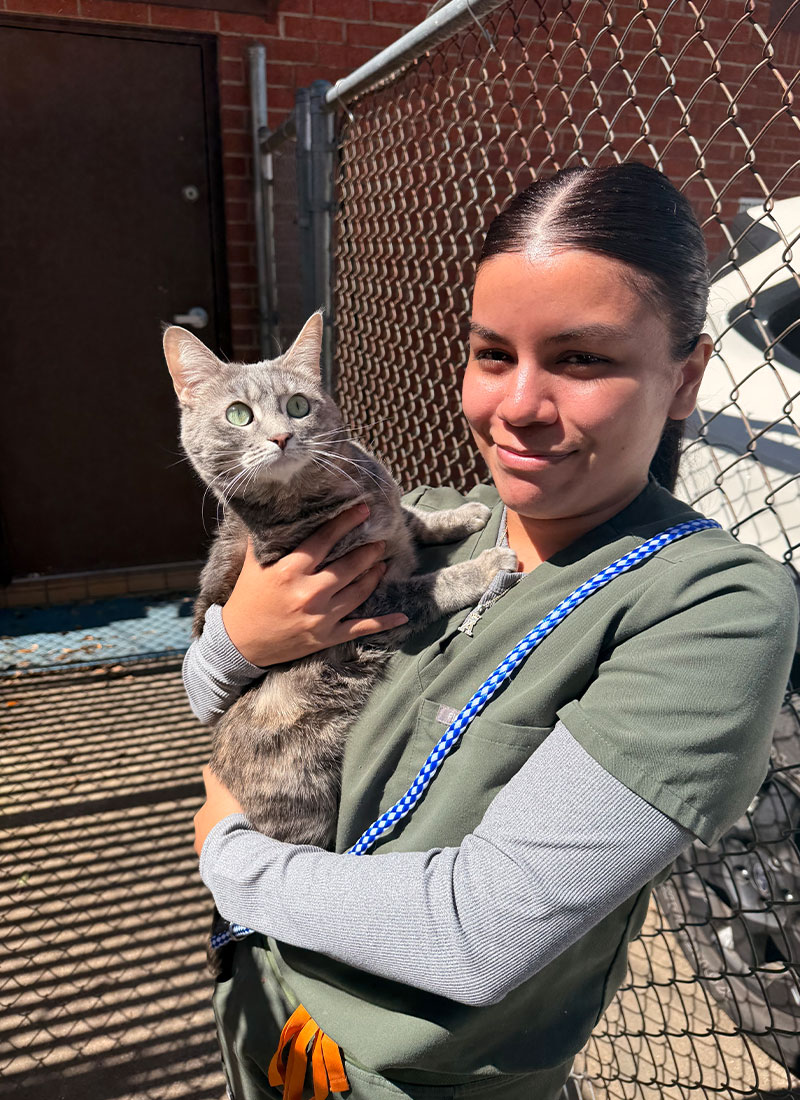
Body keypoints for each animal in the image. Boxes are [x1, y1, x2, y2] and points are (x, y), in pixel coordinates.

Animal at [164, 312, 516, 968]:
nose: (281, 437)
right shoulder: (360, 599)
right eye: (238, 415)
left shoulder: (387, 510)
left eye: (299, 405)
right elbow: (424, 585)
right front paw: (482, 567)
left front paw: (459, 518)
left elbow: (410, 517)